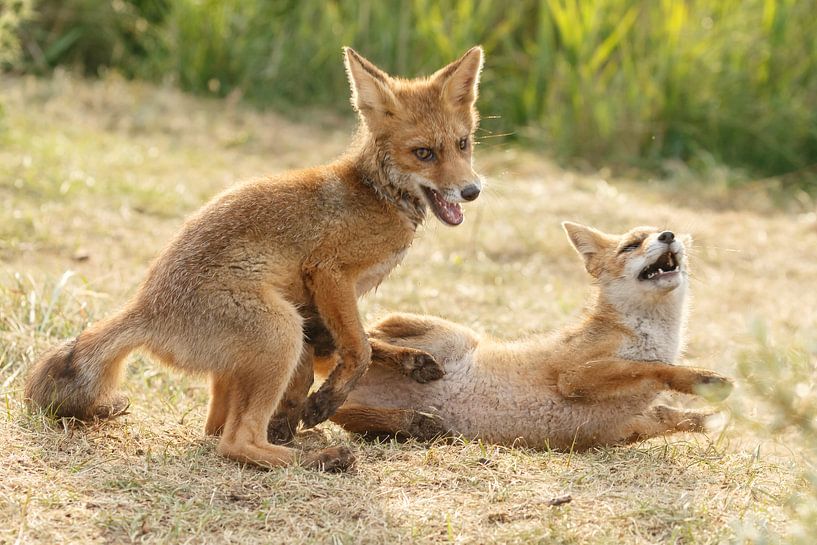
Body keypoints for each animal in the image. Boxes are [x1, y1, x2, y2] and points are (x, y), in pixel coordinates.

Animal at [25, 45, 484, 468]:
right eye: (424, 153)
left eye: (463, 145)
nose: (472, 190)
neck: (378, 194)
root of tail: (145, 308)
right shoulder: (329, 272)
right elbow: (359, 349)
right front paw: (325, 403)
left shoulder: (325, 306)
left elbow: (363, 341)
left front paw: (407, 363)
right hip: (282, 331)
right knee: (235, 443)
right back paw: (318, 457)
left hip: (273, 341)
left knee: (217, 430)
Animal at [326, 222, 732, 450]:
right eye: (631, 245)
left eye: (664, 232)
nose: (669, 235)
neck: (650, 334)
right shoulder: (574, 376)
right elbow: (653, 368)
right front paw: (704, 380)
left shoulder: (622, 428)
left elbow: (671, 415)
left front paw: (710, 417)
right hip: (451, 336)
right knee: (364, 344)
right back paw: (414, 364)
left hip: (362, 414)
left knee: (348, 414)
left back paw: (419, 423)